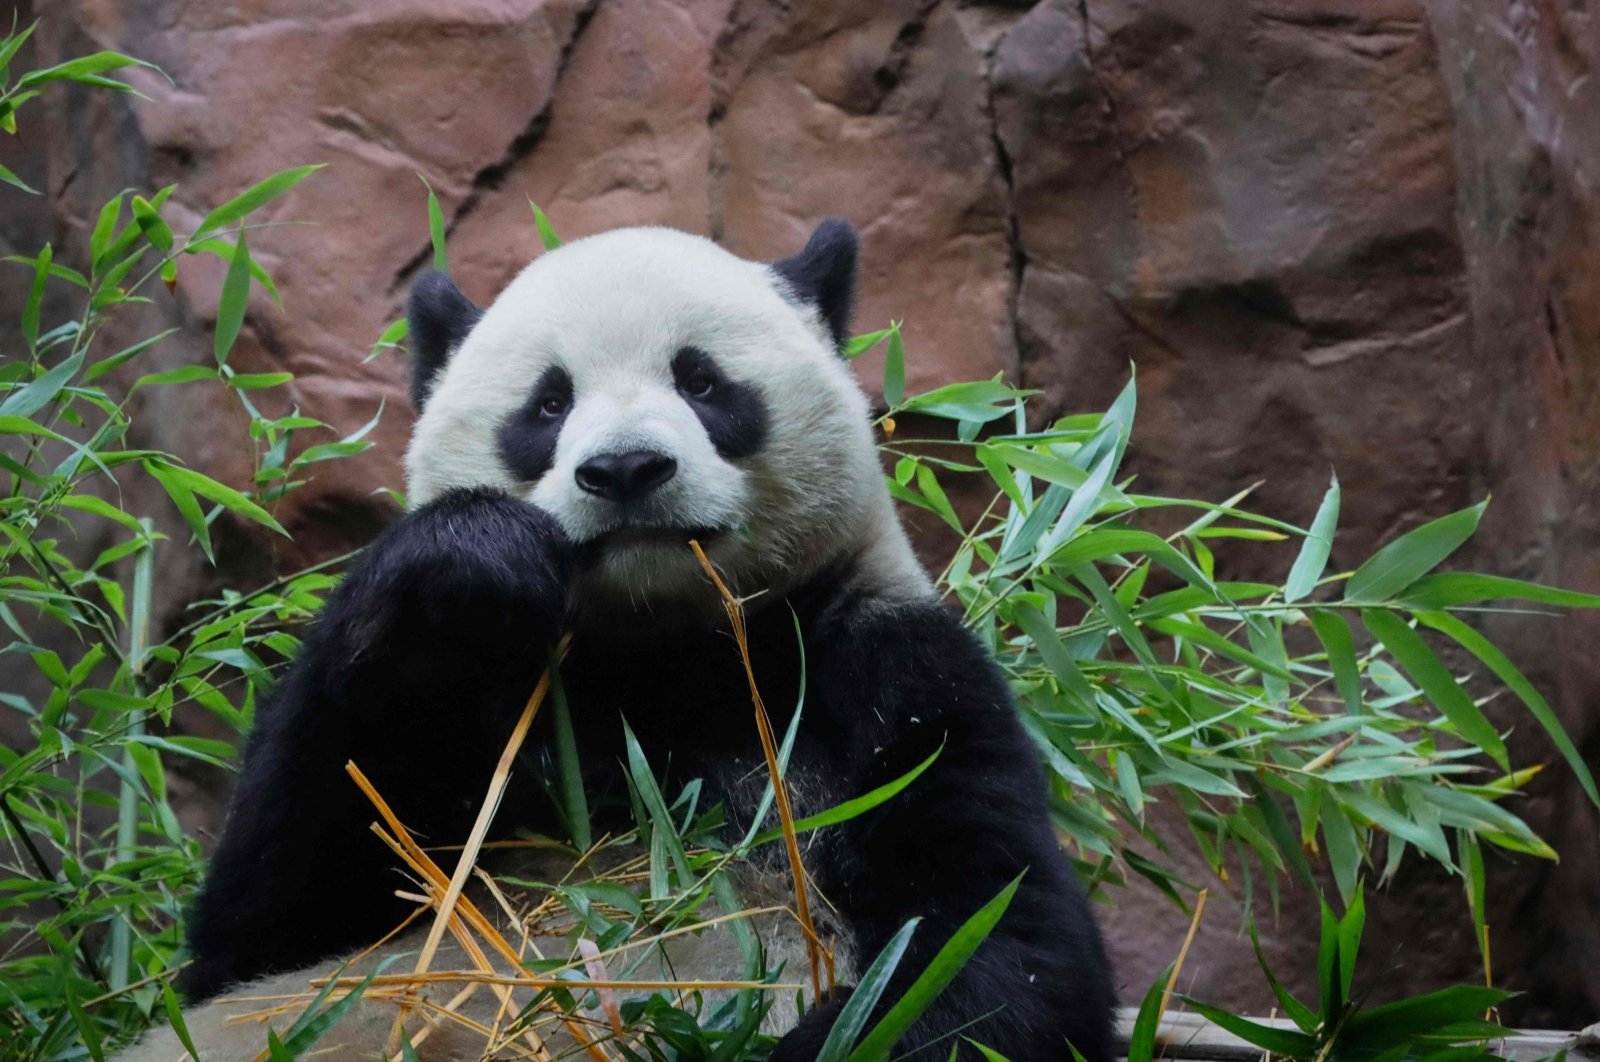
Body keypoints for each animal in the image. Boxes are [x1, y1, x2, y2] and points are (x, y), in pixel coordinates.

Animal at [128, 219, 1113, 1055]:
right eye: (548, 403)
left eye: (703, 381)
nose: (627, 468)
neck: (664, 653)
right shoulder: (482, 718)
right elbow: (269, 929)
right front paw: (473, 558)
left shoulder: (884, 676)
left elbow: (992, 947)